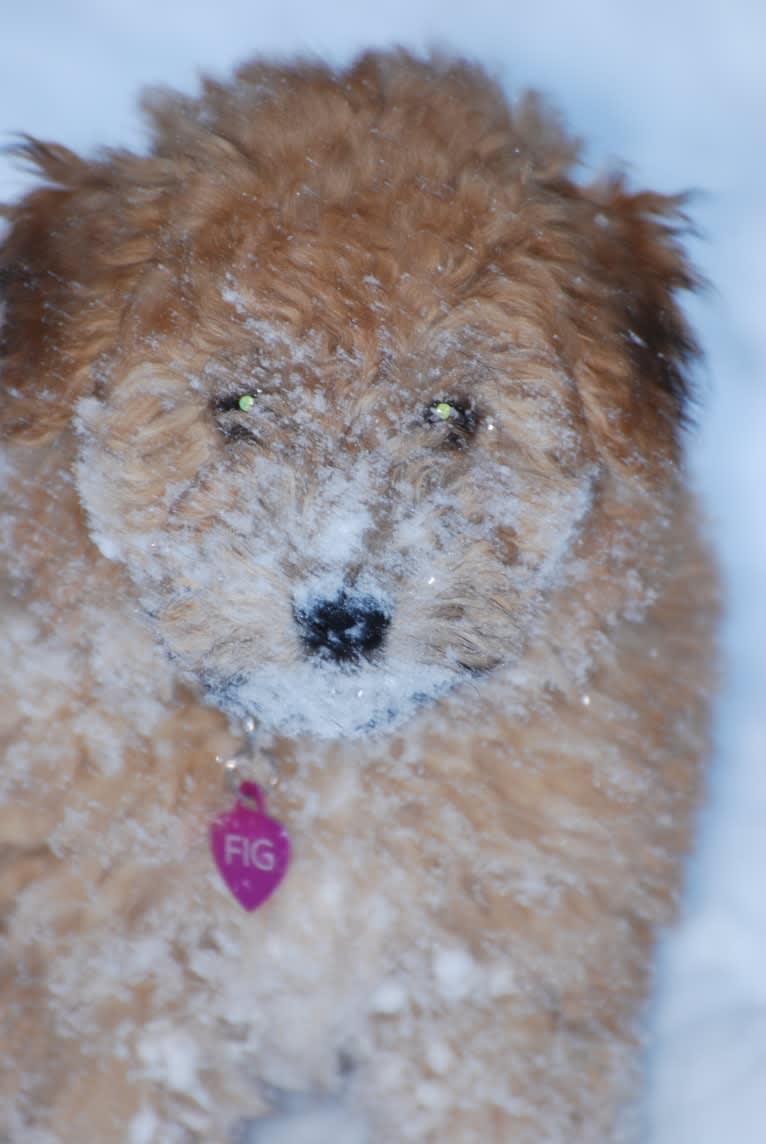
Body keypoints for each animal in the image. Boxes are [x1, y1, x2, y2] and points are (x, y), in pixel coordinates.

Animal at [0, 49, 722, 1139]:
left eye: (452, 412)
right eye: (239, 402)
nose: (342, 619)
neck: (329, 763)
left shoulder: (498, 999)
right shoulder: (117, 1003)